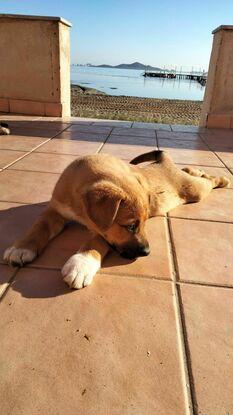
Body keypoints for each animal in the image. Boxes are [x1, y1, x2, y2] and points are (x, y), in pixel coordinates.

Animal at [3, 151, 229, 290]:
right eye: (130, 226)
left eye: (145, 223)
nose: (147, 252)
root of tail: (163, 162)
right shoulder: (55, 210)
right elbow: (39, 226)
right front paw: (22, 247)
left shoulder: (101, 230)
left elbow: (96, 240)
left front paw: (81, 264)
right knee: (194, 173)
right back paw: (195, 169)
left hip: (195, 191)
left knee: (208, 181)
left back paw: (222, 179)